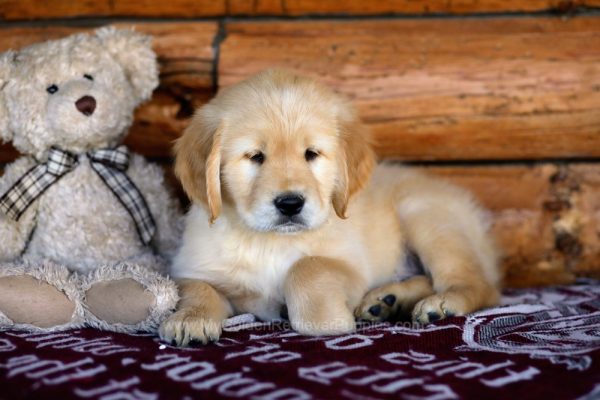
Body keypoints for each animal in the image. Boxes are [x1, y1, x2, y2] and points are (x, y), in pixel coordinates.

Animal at [159, 70, 502, 346]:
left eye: (311, 154)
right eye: (255, 156)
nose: (290, 204)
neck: (269, 242)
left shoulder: (352, 266)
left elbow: (307, 267)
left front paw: (325, 320)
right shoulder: (192, 266)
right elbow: (195, 288)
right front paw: (189, 320)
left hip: (425, 216)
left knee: (481, 285)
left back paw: (442, 301)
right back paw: (386, 300)